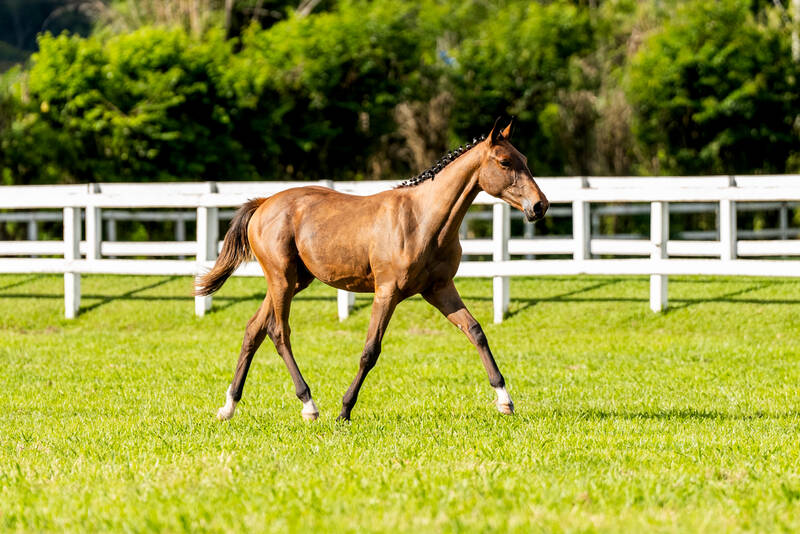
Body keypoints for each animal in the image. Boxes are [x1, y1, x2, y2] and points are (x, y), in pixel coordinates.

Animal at [195, 117, 552, 422]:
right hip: (281, 279)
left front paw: (505, 400)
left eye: (524, 158)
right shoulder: (387, 292)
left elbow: (476, 331)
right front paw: (344, 410)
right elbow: (370, 350)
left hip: (293, 281)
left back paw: (228, 406)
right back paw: (309, 405)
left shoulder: (439, 289)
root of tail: (263, 204)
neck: (422, 220)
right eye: (505, 162)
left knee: (254, 329)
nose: (540, 206)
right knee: (278, 331)